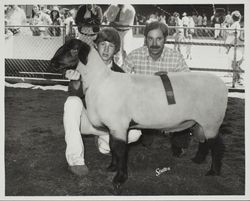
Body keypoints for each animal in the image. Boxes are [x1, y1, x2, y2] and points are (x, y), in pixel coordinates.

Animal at [49, 38, 229, 190]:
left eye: (73, 49)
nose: (51, 63)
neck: (99, 81)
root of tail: (222, 84)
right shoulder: (113, 127)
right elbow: (113, 147)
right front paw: (112, 167)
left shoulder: (119, 125)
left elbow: (120, 150)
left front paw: (119, 179)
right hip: (201, 122)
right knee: (205, 142)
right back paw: (198, 160)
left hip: (212, 121)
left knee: (217, 145)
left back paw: (213, 171)